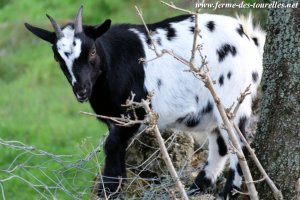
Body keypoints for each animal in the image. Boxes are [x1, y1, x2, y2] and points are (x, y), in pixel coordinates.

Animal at [25, 5, 264, 198]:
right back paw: (196, 188)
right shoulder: (114, 119)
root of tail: (250, 37)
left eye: (92, 51)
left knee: (238, 145)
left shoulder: (133, 114)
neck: (111, 61)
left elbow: (111, 145)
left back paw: (227, 192)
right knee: (221, 144)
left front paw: (108, 190)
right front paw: (114, 187)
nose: (81, 91)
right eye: (58, 58)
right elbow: (115, 147)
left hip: (232, 99)